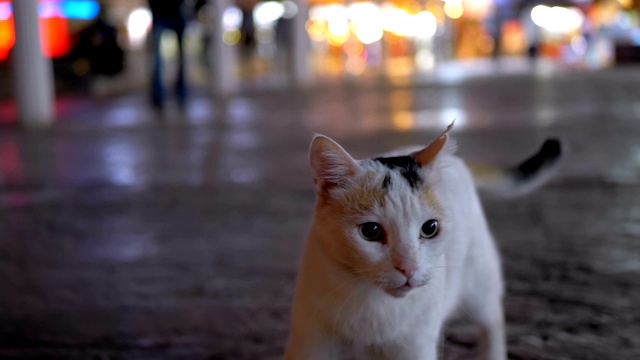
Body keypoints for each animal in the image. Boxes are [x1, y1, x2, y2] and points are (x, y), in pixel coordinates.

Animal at [284, 122, 560, 358]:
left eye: (430, 228)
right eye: (370, 231)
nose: (409, 268)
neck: (373, 303)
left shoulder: (415, 346)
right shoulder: (311, 339)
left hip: (479, 281)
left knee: (492, 316)